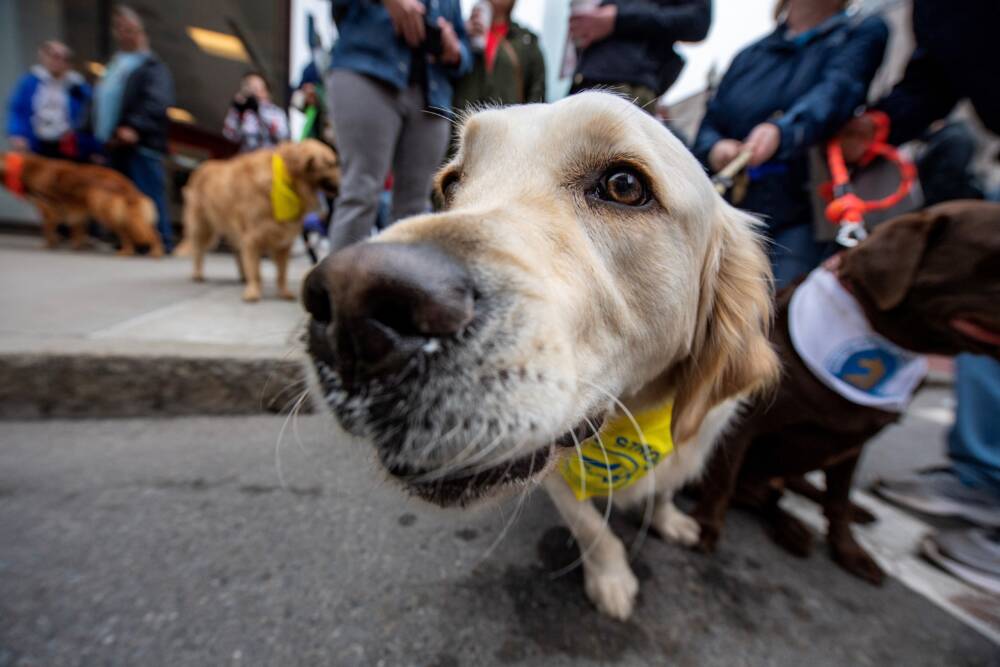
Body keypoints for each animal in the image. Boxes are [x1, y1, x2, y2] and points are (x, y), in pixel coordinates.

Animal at [0, 153, 162, 258]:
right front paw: (78, 246)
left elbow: (48, 230)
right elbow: (77, 231)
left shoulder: (48, 210)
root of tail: (126, 183)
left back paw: (127, 251)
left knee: (125, 233)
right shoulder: (77, 211)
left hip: (103, 209)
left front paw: (49, 245)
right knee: (152, 231)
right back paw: (156, 250)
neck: (26, 168)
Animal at [184, 141, 344, 302]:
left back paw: (243, 277)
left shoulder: (283, 240)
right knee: (198, 250)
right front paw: (253, 292)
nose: (343, 184)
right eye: (331, 164)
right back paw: (198, 274)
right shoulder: (252, 237)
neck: (287, 181)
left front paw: (284, 292)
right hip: (202, 226)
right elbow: (256, 270)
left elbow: (282, 271)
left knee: (237, 253)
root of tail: (202, 166)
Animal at [300, 94, 776, 620]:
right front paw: (612, 579)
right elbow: (592, 528)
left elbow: (667, 484)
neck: (634, 423)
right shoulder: (562, 480)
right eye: (451, 183)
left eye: (624, 186)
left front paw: (669, 519)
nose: (349, 313)